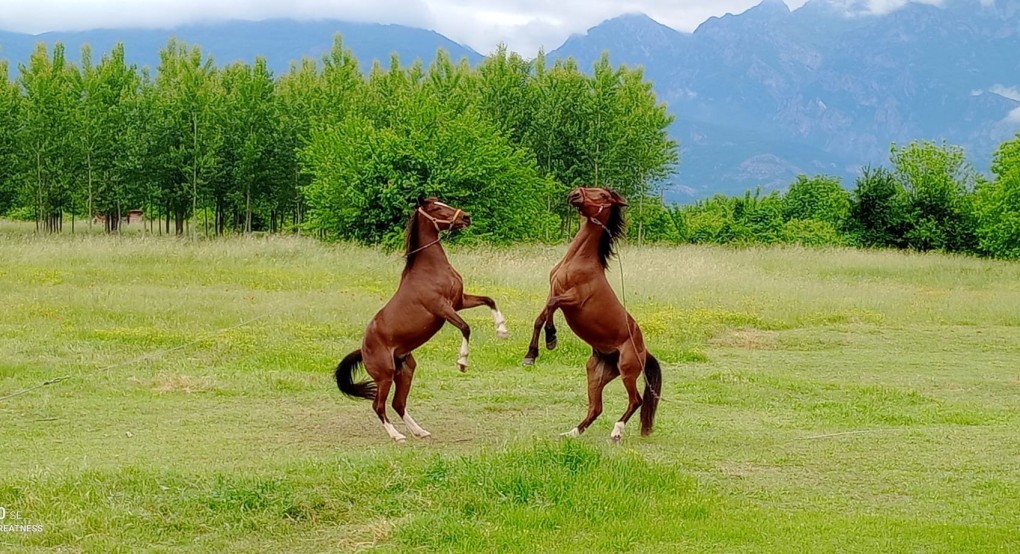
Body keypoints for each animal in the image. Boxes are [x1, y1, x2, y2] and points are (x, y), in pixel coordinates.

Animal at [336, 196, 507, 444]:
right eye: (436, 208)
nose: (466, 217)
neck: (429, 270)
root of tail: (363, 349)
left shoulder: (459, 301)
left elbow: (489, 300)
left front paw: (502, 330)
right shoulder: (442, 308)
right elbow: (465, 327)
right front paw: (462, 362)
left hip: (405, 371)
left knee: (398, 403)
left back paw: (419, 431)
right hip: (385, 376)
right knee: (379, 406)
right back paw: (397, 436)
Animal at [526, 188, 660, 444]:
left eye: (602, 196)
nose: (574, 194)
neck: (577, 262)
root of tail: (644, 351)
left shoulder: (572, 299)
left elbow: (551, 308)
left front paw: (551, 338)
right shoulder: (553, 290)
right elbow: (541, 317)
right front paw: (532, 353)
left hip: (627, 371)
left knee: (635, 400)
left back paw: (616, 432)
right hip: (596, 373)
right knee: (596, 408)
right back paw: (571, 433)